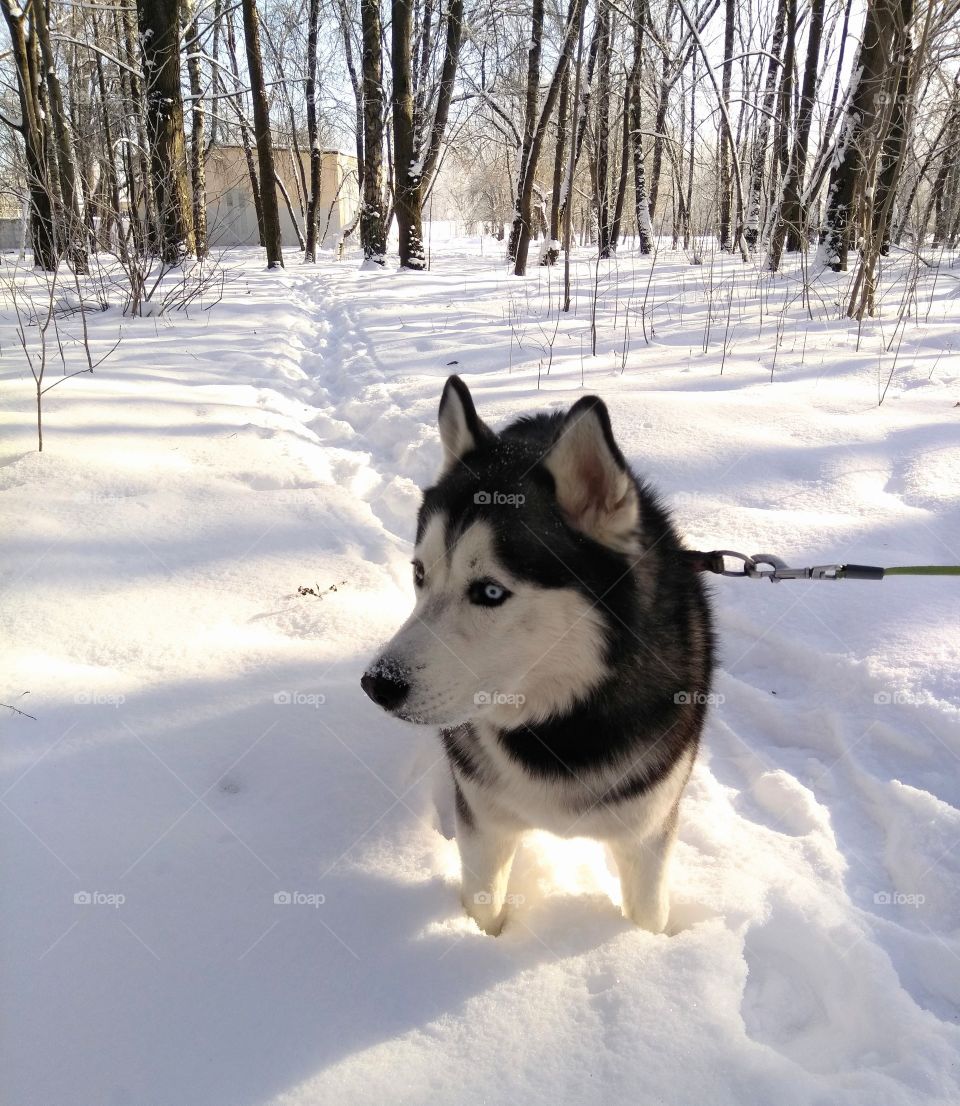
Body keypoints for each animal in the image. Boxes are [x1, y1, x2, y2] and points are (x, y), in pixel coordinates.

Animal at [360, 378, 712, 933]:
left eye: (490, 592)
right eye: (420, 574)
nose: (378, 684)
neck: (560, 721)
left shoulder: (647, 833)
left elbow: (646, 917)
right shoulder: (484, 822)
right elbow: (484, 905)